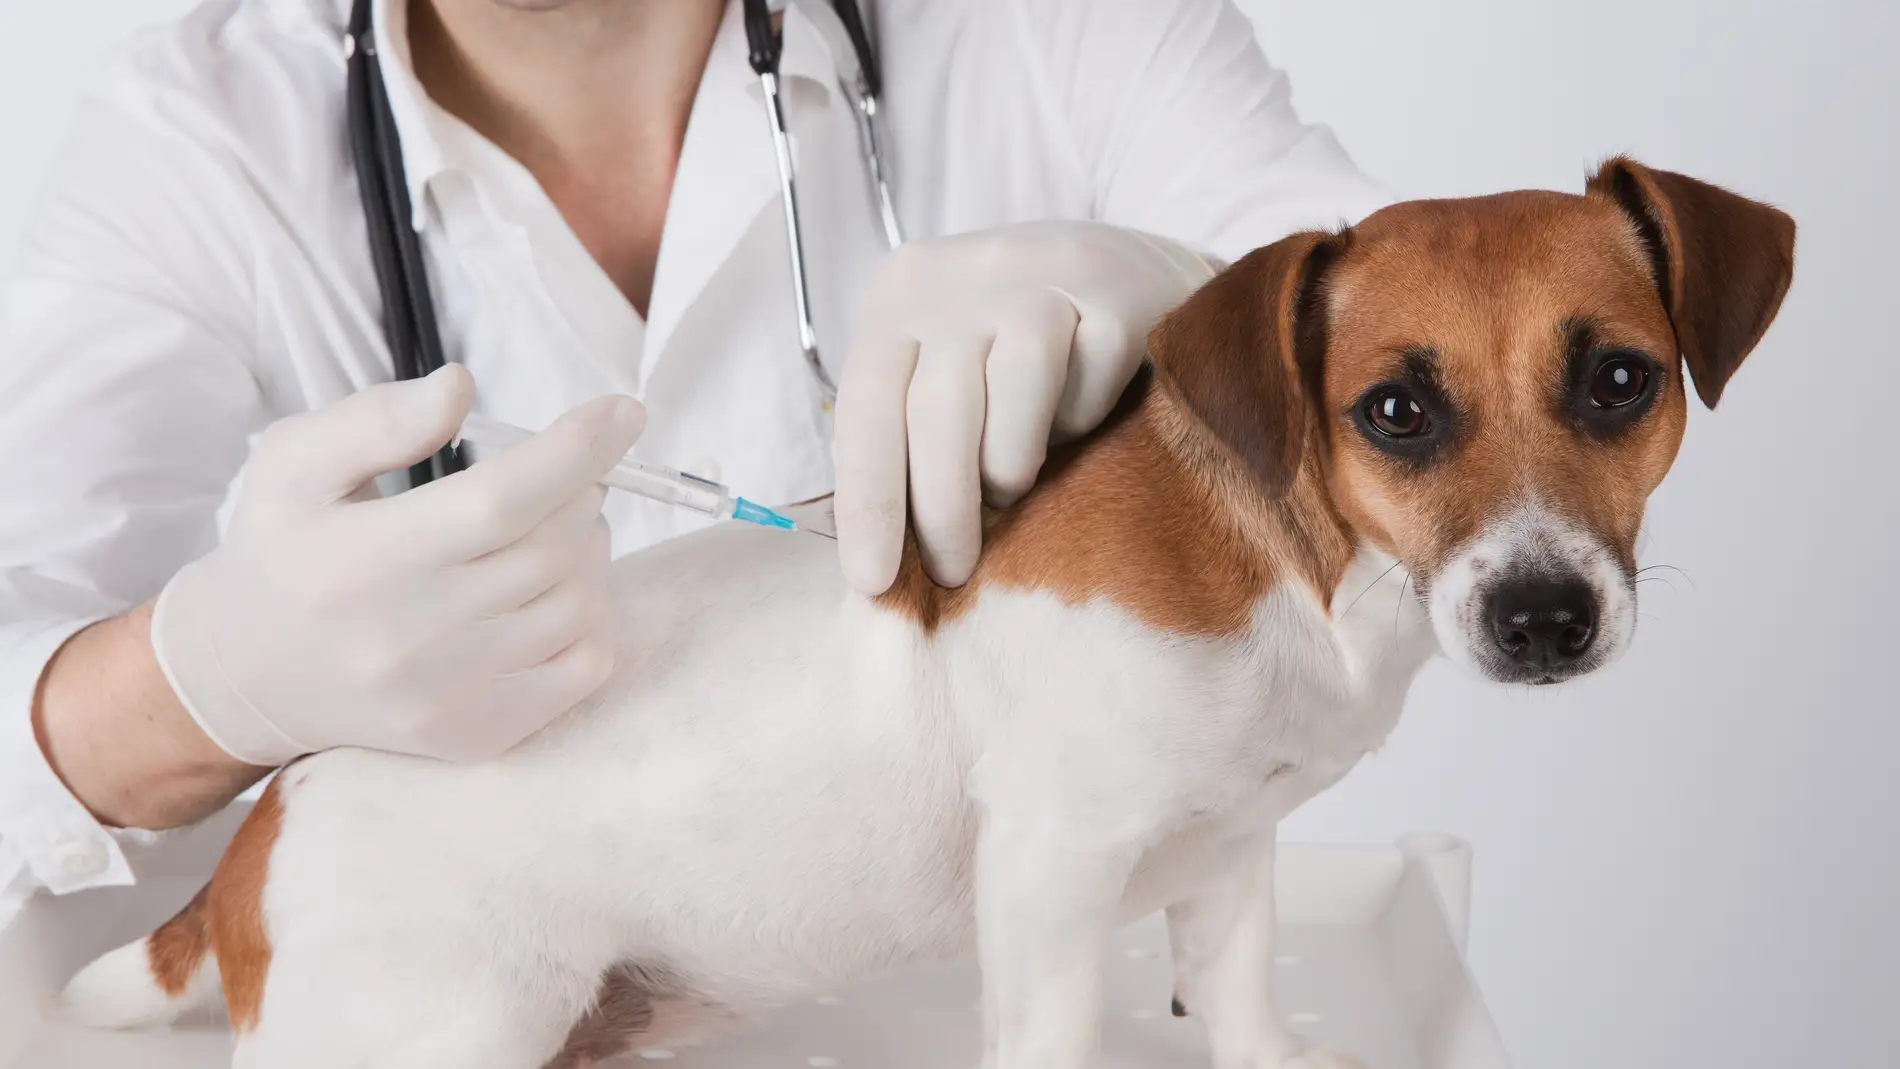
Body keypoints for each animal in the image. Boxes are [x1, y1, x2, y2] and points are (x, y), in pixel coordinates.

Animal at [59, 158, 1793, 1069]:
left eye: (1619, 380)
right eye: (1396, 412)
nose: (1546, 616)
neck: (1303, 580)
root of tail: (260, 840)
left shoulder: (1229, 863)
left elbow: (1240, 1001)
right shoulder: (1052, 879)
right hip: (440, 1024)